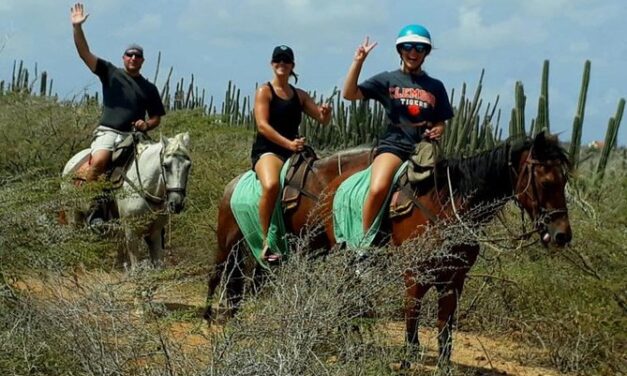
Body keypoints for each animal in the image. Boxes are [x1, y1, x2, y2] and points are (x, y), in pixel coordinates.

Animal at [63, 131, 194, 268]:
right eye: (165, 165)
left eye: (188, 166)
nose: (176, 203)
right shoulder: (131, 232)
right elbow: (135, 265)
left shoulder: (155, 233)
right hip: (73, 215)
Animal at [206, 132, 576, 368]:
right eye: (546, 182)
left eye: (565, 181)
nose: (562, 235)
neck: (447, 204)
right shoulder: (415, 275)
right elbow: (412, 322)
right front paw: (407, 361)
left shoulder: (454, 280)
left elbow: (445, 330)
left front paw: (442, 365)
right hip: (232, 242)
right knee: (218, 275)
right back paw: (210, 316)